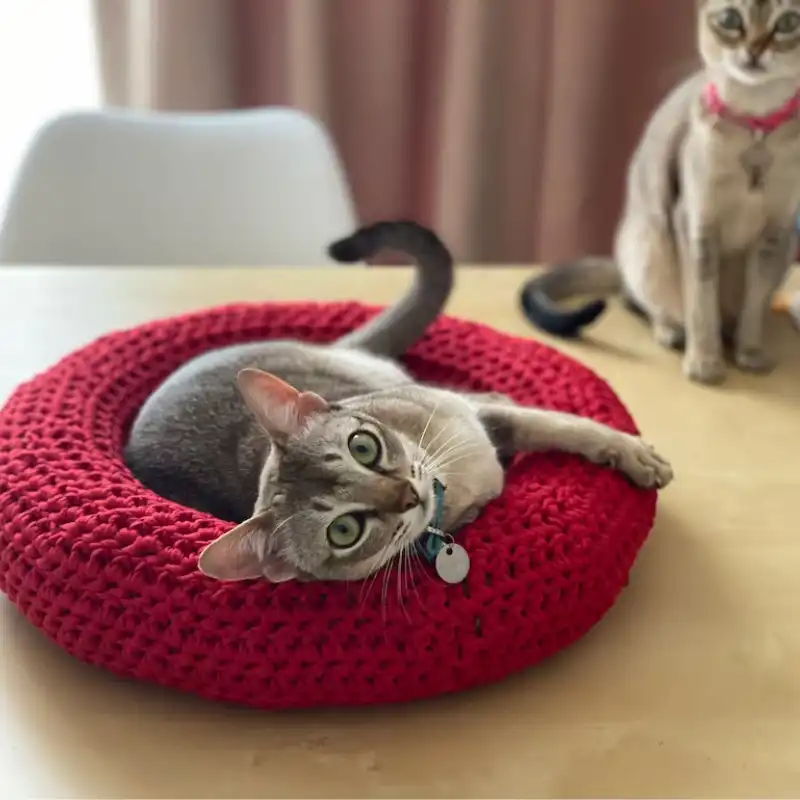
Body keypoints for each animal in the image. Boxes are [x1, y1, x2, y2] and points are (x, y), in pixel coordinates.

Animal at [126, 219, 676, 580]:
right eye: (344, 530)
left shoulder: (476, 415)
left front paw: (634, 454)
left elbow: (562, 425)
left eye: (362, 446)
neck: (452, 476)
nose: (406, 495)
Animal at [520, 0, 800, 384]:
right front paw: (704, 363)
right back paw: (671, 331)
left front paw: (750, 352)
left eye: (788, 23)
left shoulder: (774, 233)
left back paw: (729, 333)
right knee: (639, 300)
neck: (756, 131)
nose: (755, 50)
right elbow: (701, 305)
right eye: (731, 20)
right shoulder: (696, 223)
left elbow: (754, 305)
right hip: (650, 244)